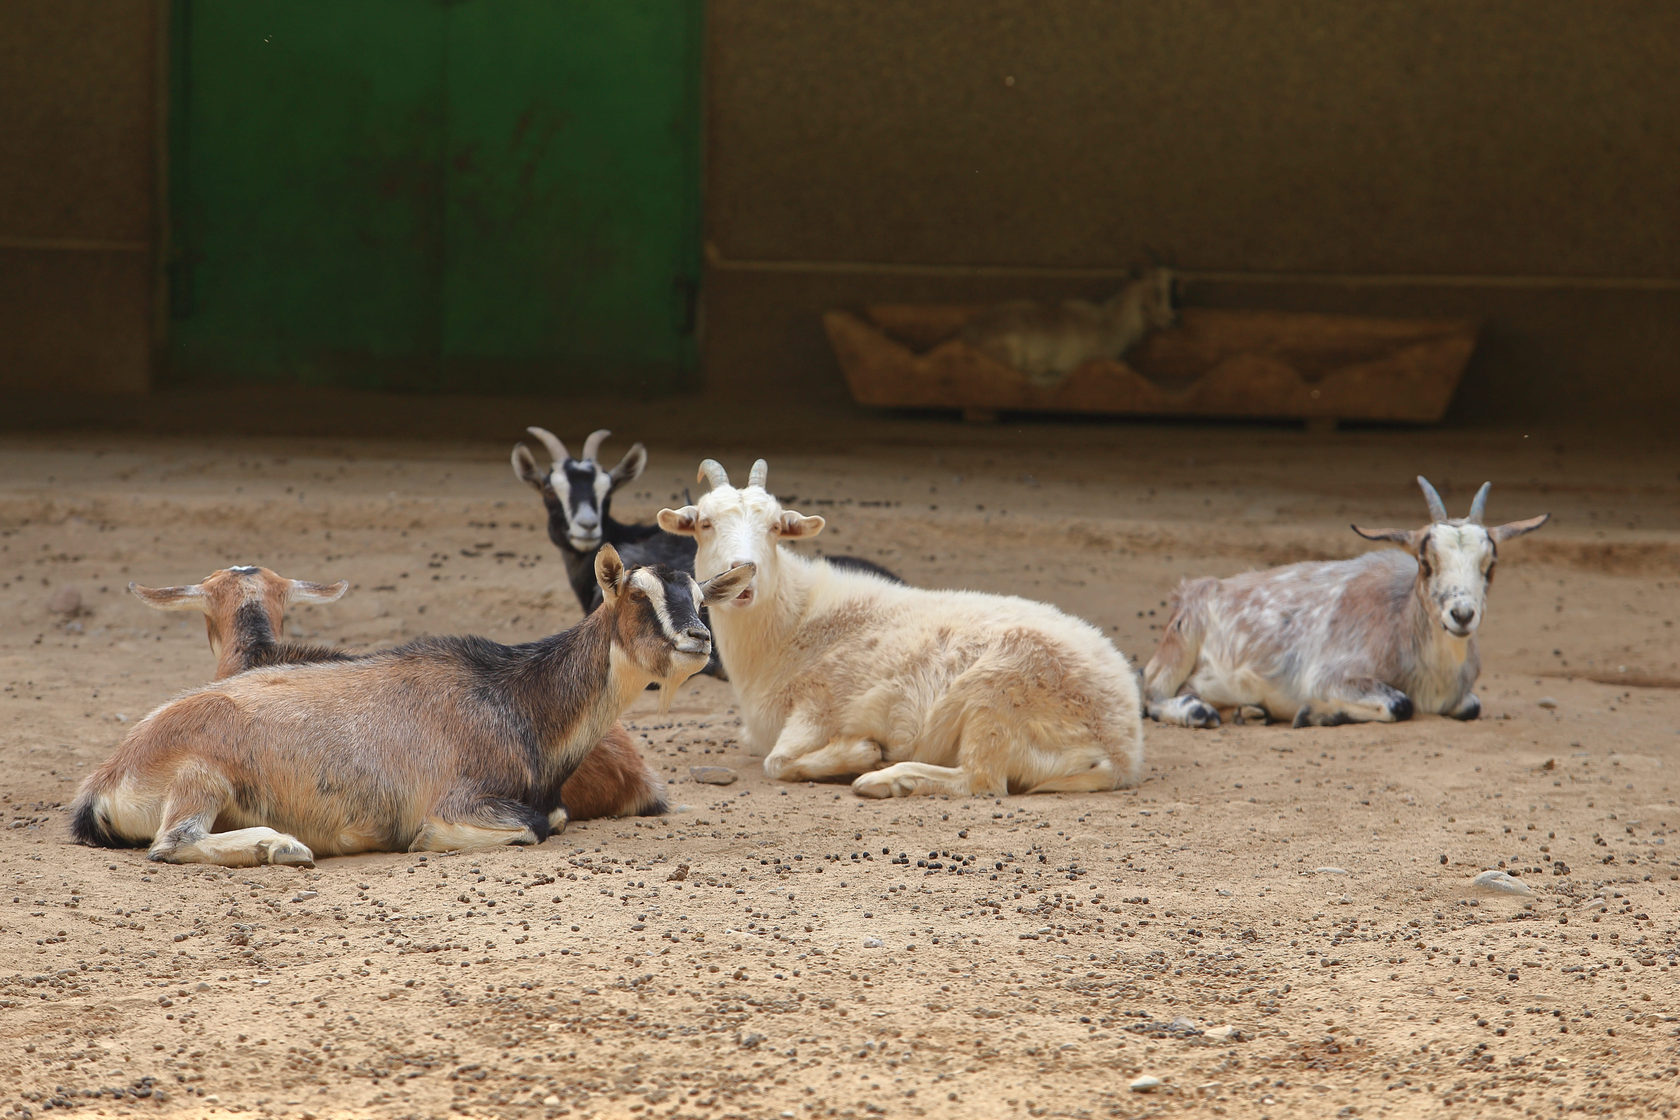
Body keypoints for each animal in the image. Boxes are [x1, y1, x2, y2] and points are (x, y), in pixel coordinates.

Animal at [655, 460, 1142, 802]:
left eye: (776, 527)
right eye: (704, 523)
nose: (744, 580)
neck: (792, 623)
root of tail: (1122, 748)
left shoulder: (820, 707)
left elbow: (778, 761)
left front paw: (860, 752)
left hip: (999, 692)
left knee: (981, 779)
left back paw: (886, 780)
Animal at [1142, 476, 1545, 732]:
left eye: (1490, 565)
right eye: (1426, 561)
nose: (1461, 615)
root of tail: (1193, 590)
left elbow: (1472, 706)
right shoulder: (1329, 676)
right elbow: (1400, 703)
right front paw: (1316, 714)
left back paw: (1250, 710)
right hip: (1180, 644)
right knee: (1150, 692)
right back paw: (1198, 712)